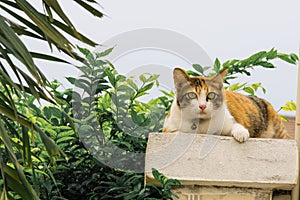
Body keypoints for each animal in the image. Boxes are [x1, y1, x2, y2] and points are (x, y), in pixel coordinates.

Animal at [163, 67, 292, 142]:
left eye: (211, 95)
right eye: (192, 95)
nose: (202, 106)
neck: (200, 125)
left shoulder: (229, 122)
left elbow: (237, 126)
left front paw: (242, 134)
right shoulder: (167, 129)